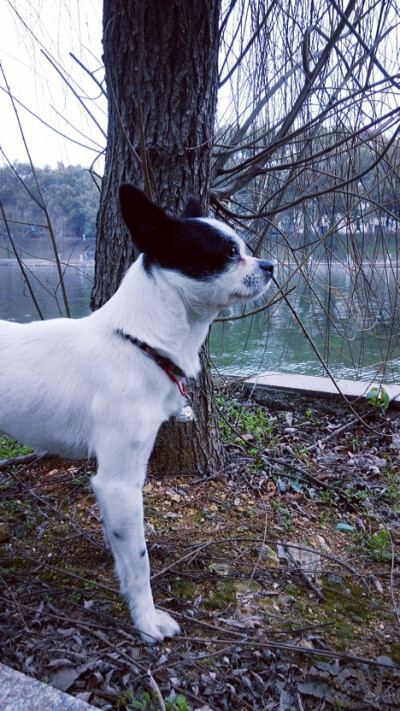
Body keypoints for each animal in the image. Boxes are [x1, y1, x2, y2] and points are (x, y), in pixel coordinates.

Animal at [0, 185, 274, 644]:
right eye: (225, 253)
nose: (270, 265)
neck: (139, 343)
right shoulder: (119, 483)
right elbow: (140, 559)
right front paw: (146, 622)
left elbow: (124, 555)